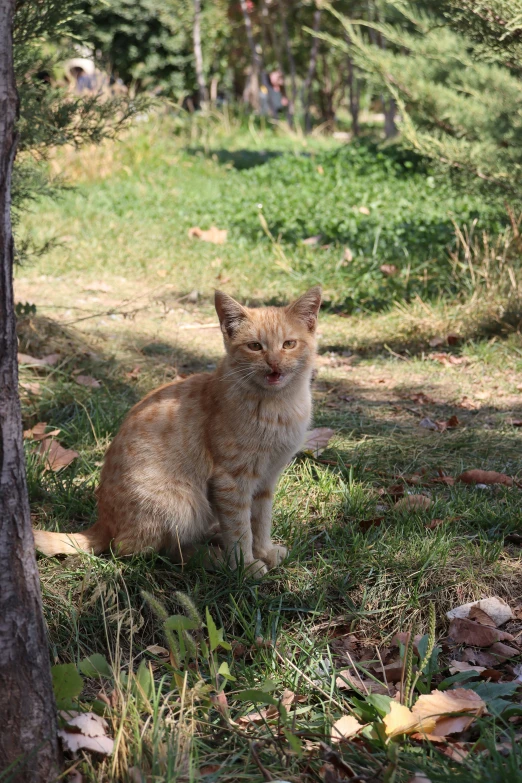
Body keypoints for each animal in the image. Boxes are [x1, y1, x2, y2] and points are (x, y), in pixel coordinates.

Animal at [34, 288, 318, 576]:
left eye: (288, 344)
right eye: (255, 346)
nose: (274, 363)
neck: (279, 406)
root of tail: (104, 522)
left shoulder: (266, 479)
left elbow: (260, 521)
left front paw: (265, 551)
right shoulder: (232, 480)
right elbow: (240, 529)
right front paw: (244, 566)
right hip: (183, 504)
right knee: (155, 552)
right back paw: (216, 559)